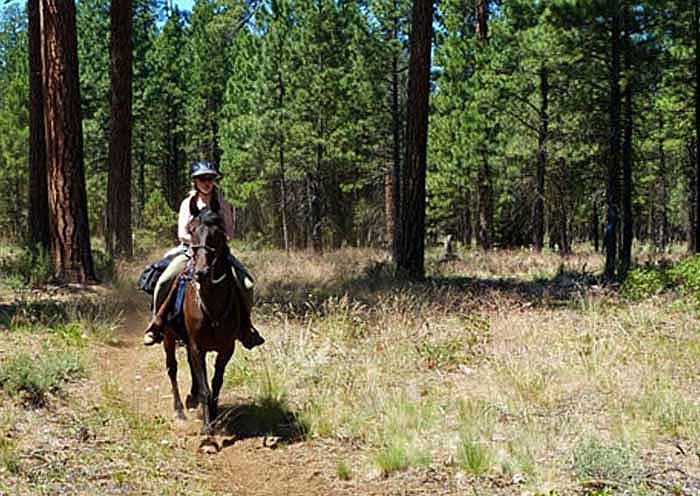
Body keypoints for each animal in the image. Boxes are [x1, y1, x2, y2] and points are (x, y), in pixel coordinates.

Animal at [149, 200, 245, 432]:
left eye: (217, 233)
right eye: (191, 231)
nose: (201, 272)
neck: (211, 305)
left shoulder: (226, 348)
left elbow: (216, 382)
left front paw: (214, 412)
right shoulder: (196, 345)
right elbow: (204, 386)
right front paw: (207, 429)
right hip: (168, 337)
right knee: (172, 368)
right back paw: (179, 410)